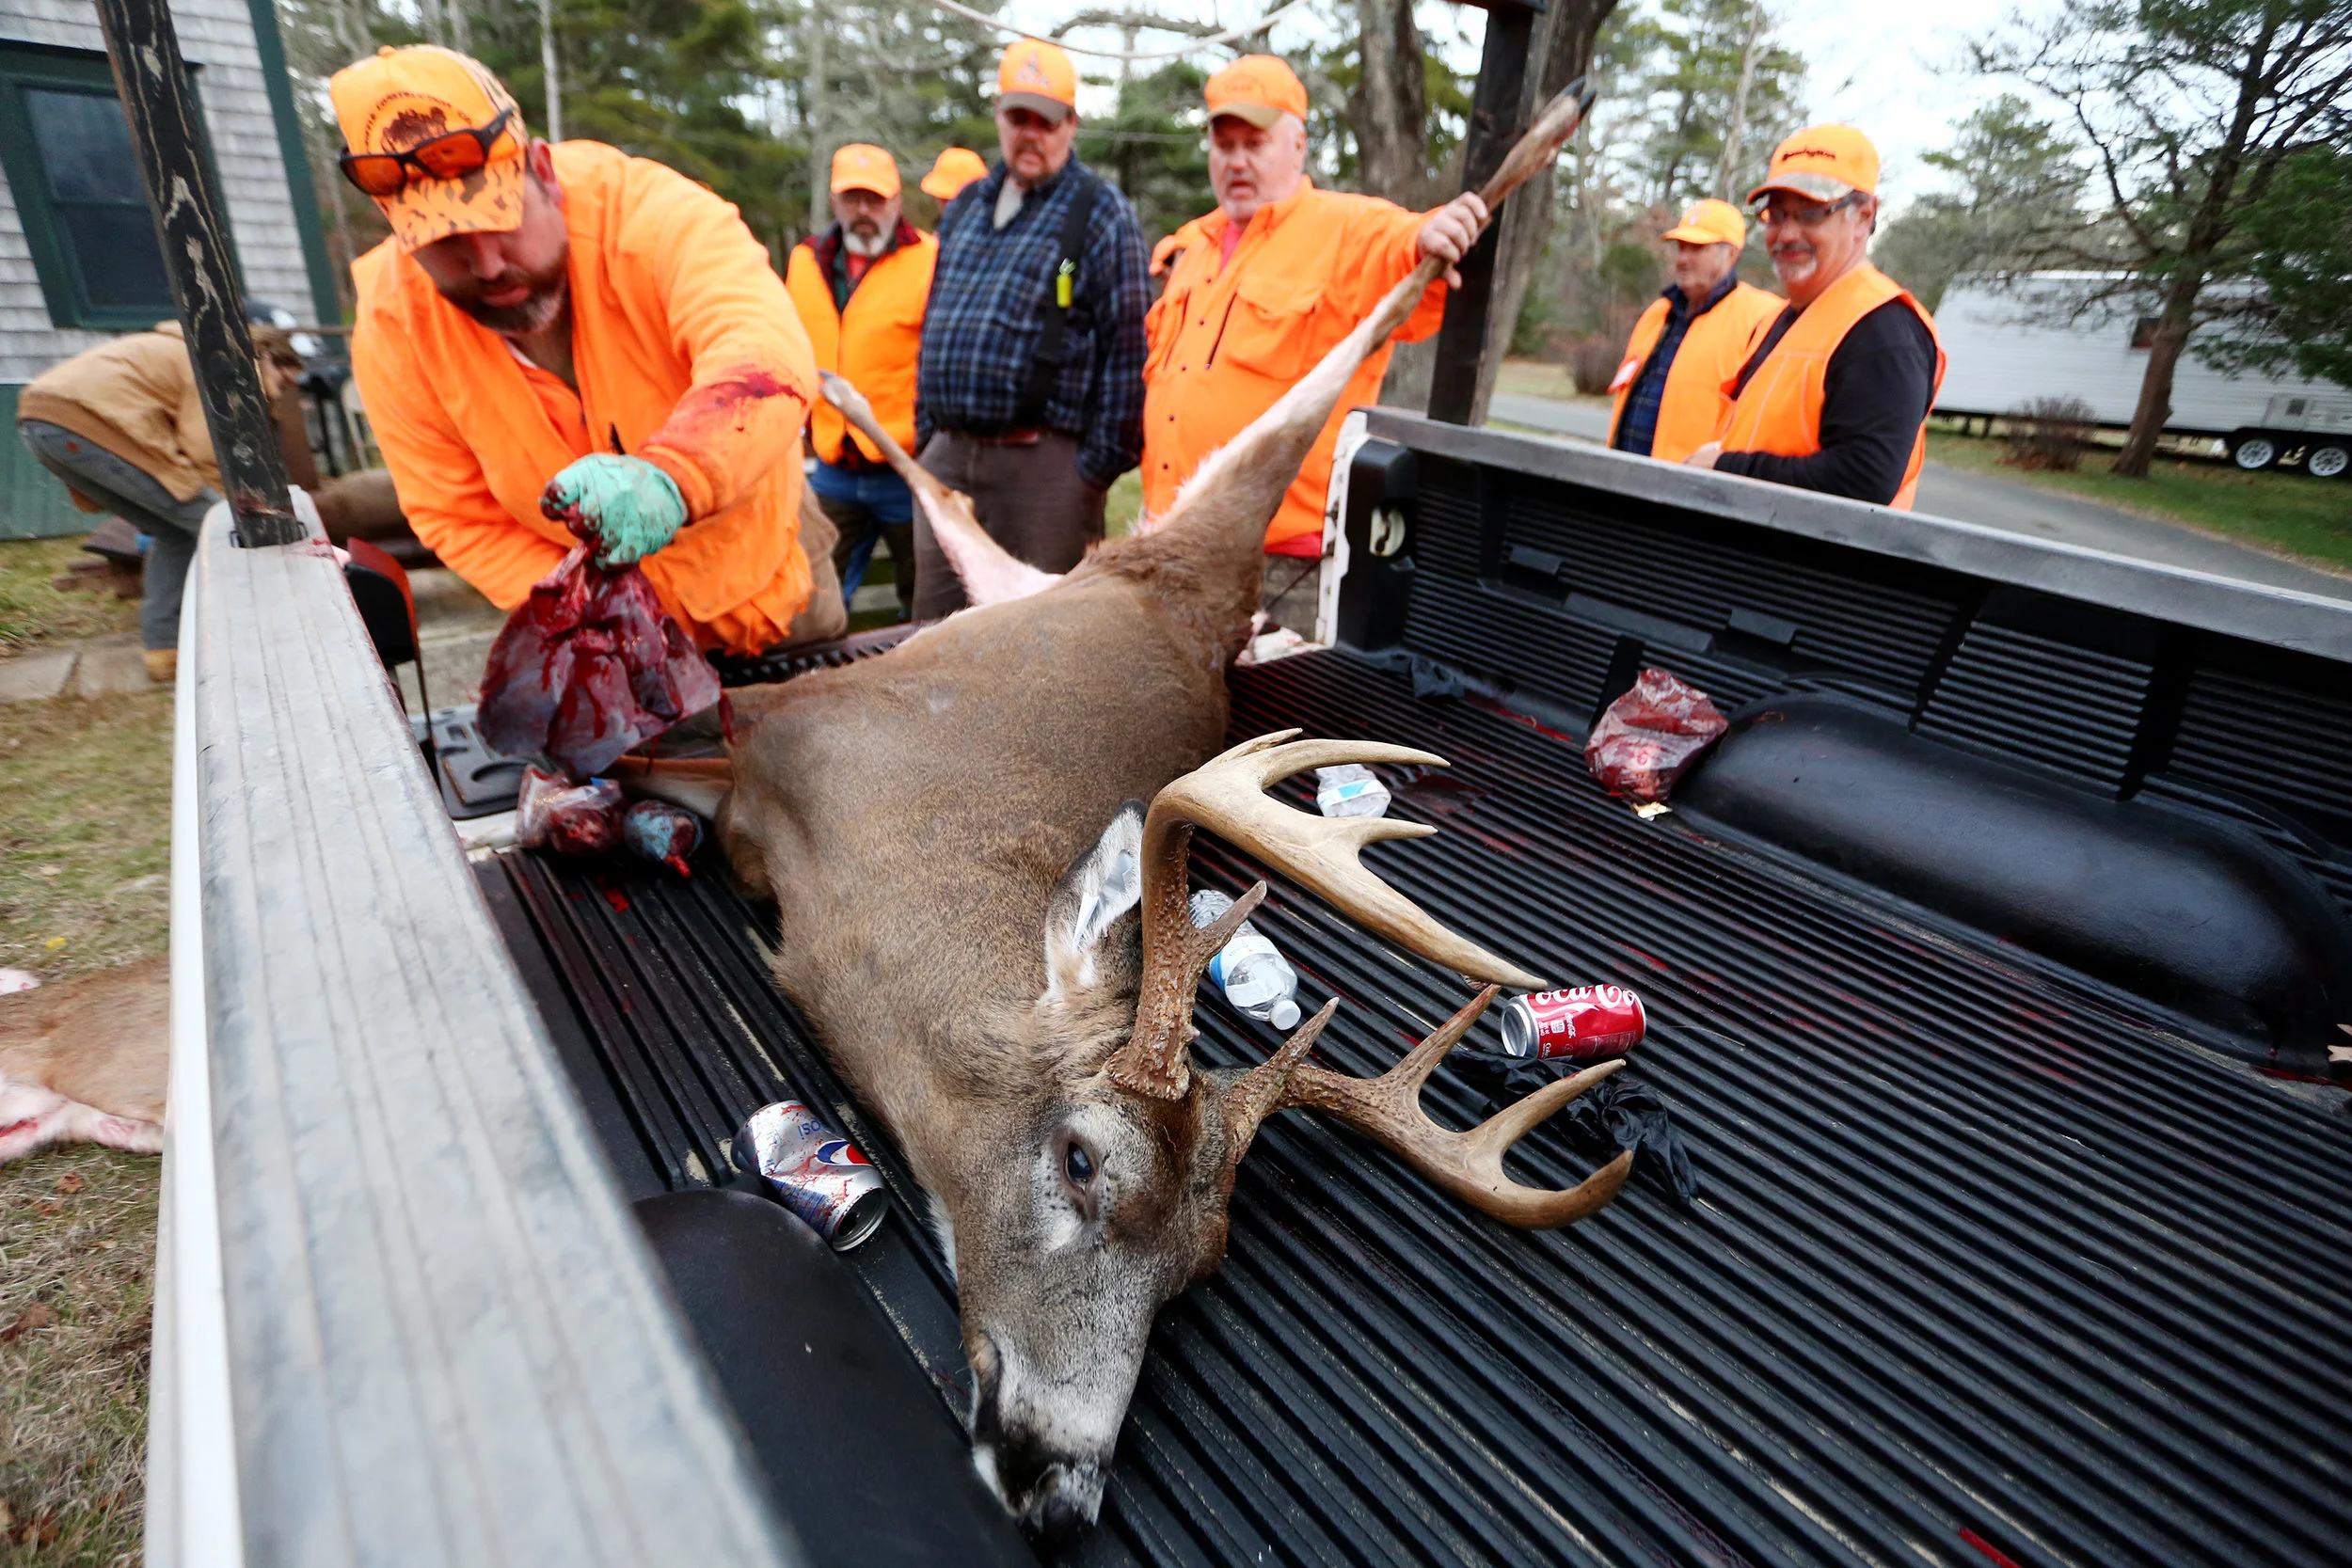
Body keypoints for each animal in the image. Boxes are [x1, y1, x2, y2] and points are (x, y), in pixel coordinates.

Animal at [622, 85, 1629, 1539]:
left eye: (1199, 1266)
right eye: (1084, 1159)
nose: (1060, 1479)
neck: (861, 917)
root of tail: (1161, 590)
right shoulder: (779, 728)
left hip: (1039, 568)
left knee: (959, 500)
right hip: (1139, 533)